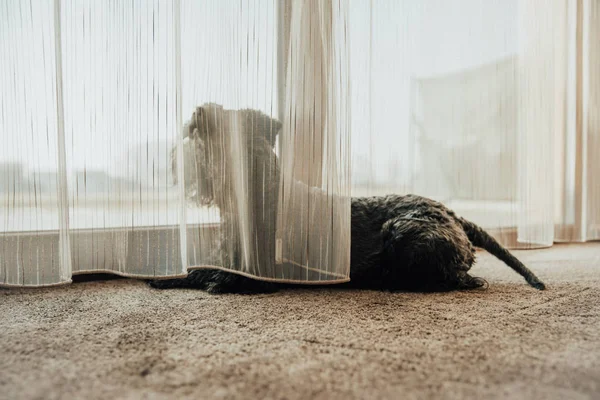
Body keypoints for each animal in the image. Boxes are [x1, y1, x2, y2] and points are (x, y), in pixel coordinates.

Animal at [148, 104, 548, 294]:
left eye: (193, 136)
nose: (174, 159)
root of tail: (455, 215)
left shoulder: (253, 276)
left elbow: (211, 275)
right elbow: (197, 267)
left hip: (402, 231)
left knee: (459, 279)